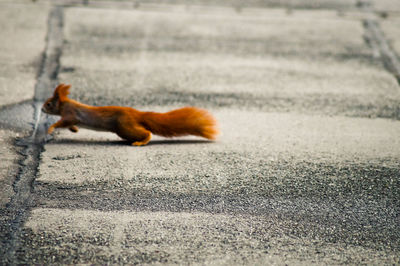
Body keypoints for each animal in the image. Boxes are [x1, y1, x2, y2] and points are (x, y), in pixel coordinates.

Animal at [40, 83, 219, 145]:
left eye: (48, 104)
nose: (41, 109)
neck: (64, 104)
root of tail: (137, 114)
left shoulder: (70, 113)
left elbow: (63, 121)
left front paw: (50, 128)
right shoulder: (71, 118)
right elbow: (70, 124)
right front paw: (75, 130)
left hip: (125, 127)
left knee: (146, 133)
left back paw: (141, 142)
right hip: (124, 129)